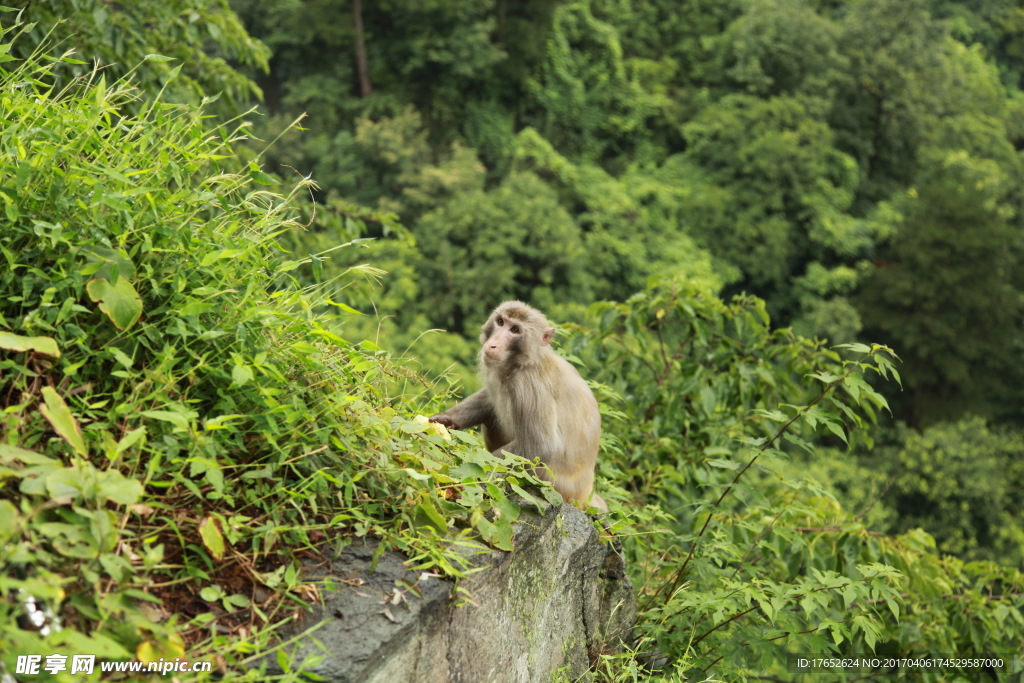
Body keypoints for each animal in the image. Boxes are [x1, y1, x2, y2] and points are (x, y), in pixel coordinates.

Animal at [428, 301, 602, 509]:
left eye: (515, 330)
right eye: (500, 322)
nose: (493, 344)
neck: (522, 362)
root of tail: (584, 497)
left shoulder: (529, 385)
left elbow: (540, 446)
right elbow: (489, 400)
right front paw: (447, 420)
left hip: (550, 485)